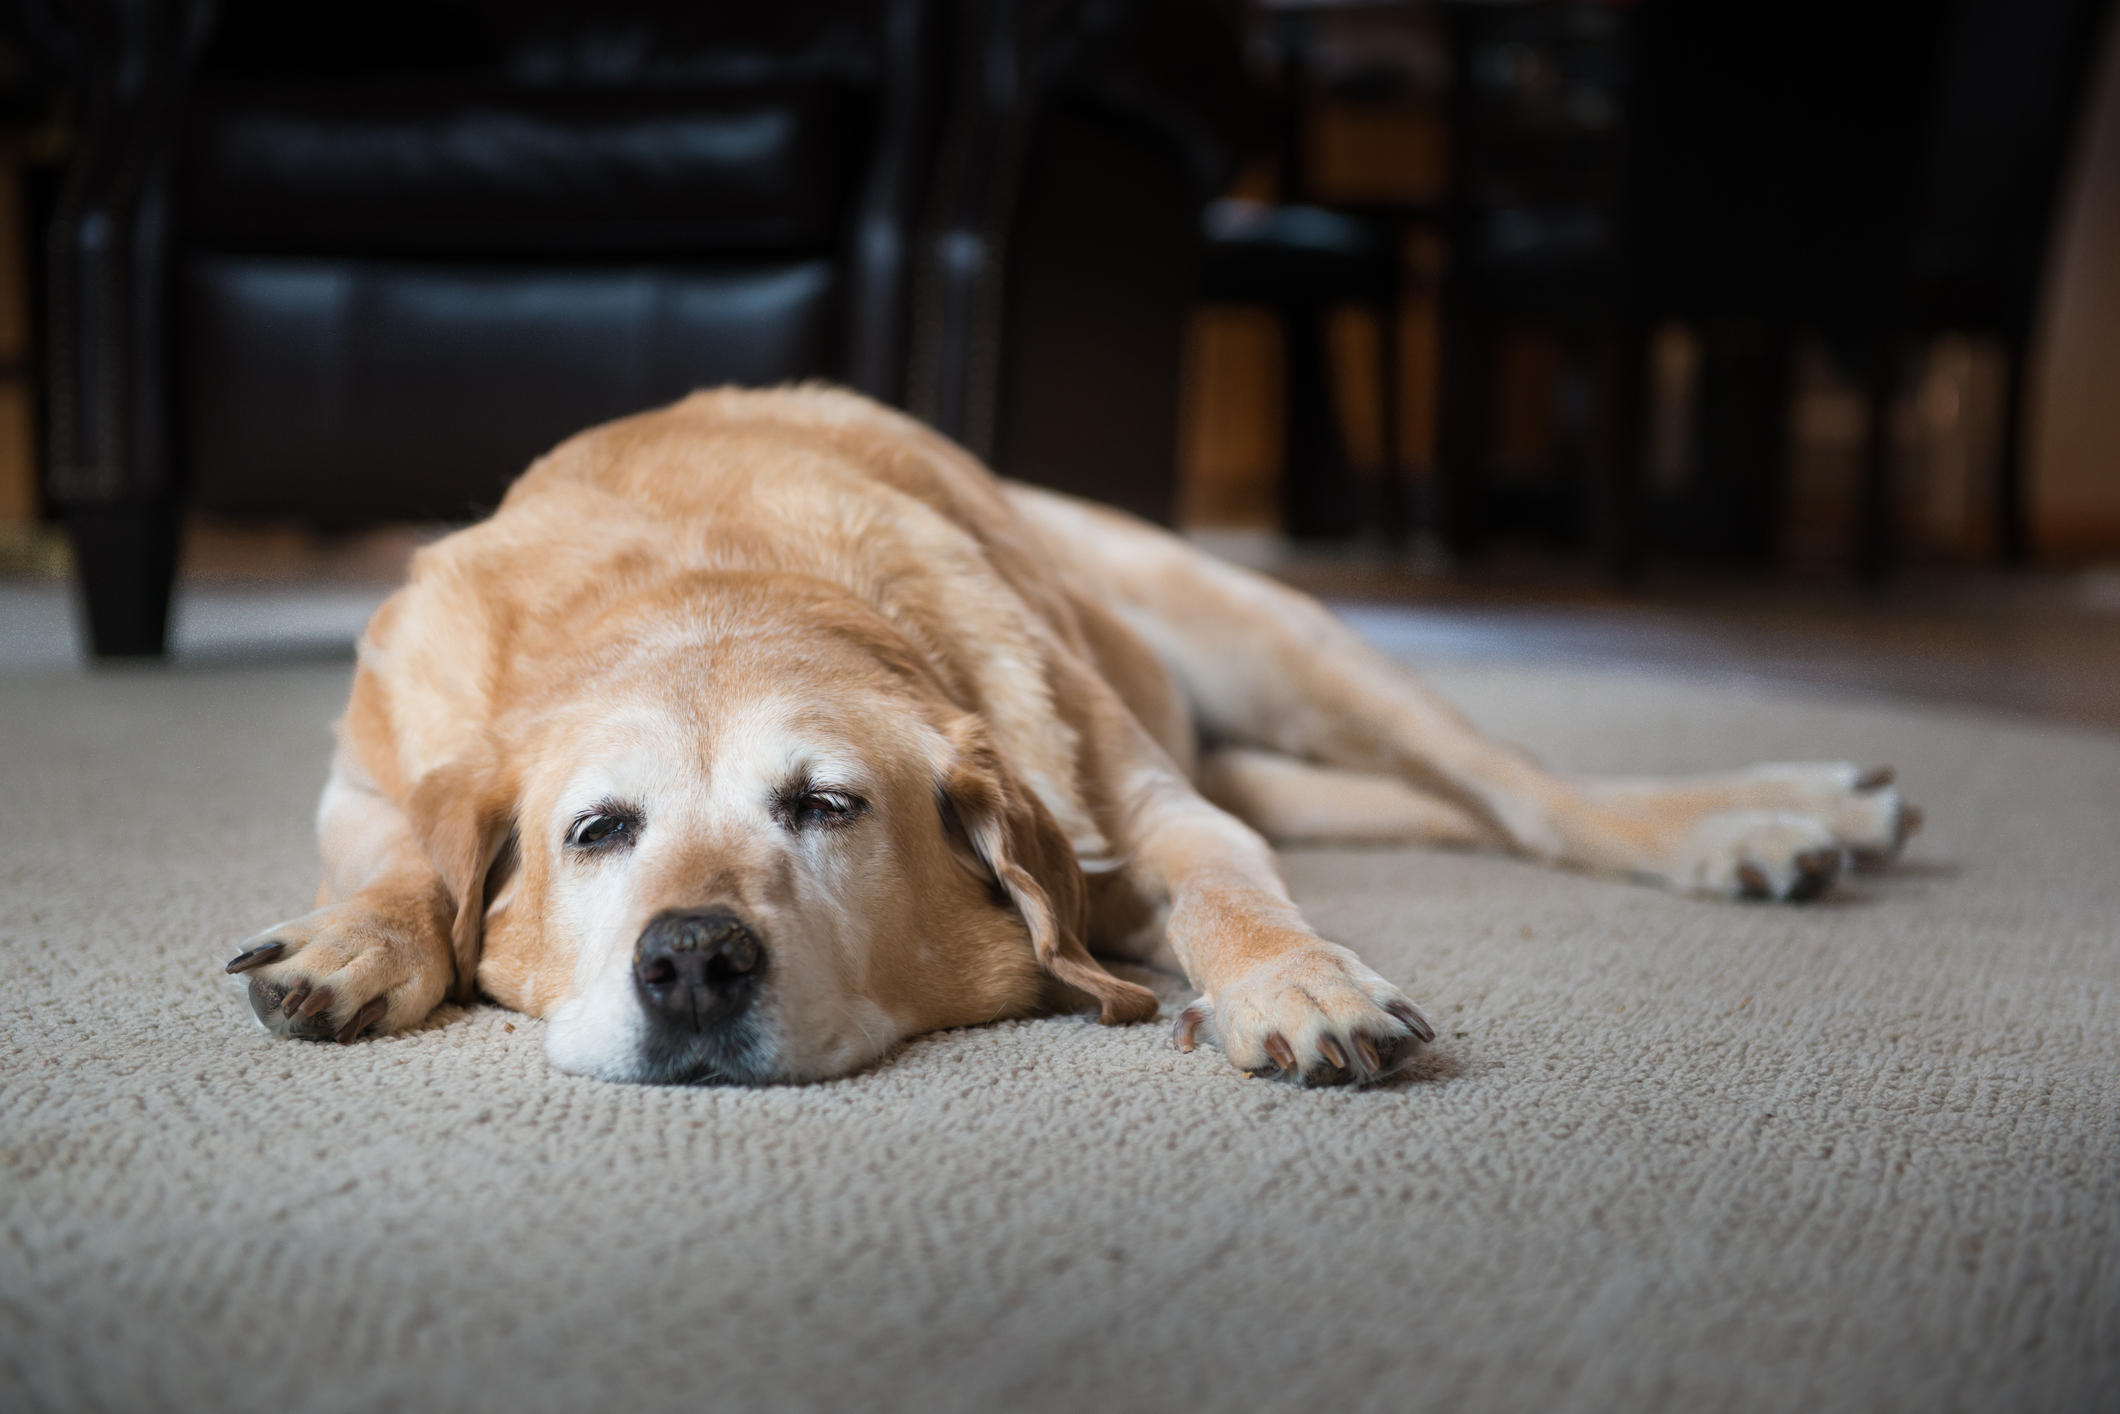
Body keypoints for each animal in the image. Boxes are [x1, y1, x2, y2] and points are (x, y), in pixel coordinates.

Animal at [227, 383, 1924, 1085]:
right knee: (1441, 811)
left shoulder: (1153, 810)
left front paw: (1294, 982)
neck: (708, 581)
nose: (693, 958)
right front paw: (357, 942)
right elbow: (402, 861)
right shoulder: (362, 778)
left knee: (1525, 794)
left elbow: (1227, 888)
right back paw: (1816, 811)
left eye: (825, 805)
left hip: (1280, 640)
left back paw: (1758, 819)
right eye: (598, 831)